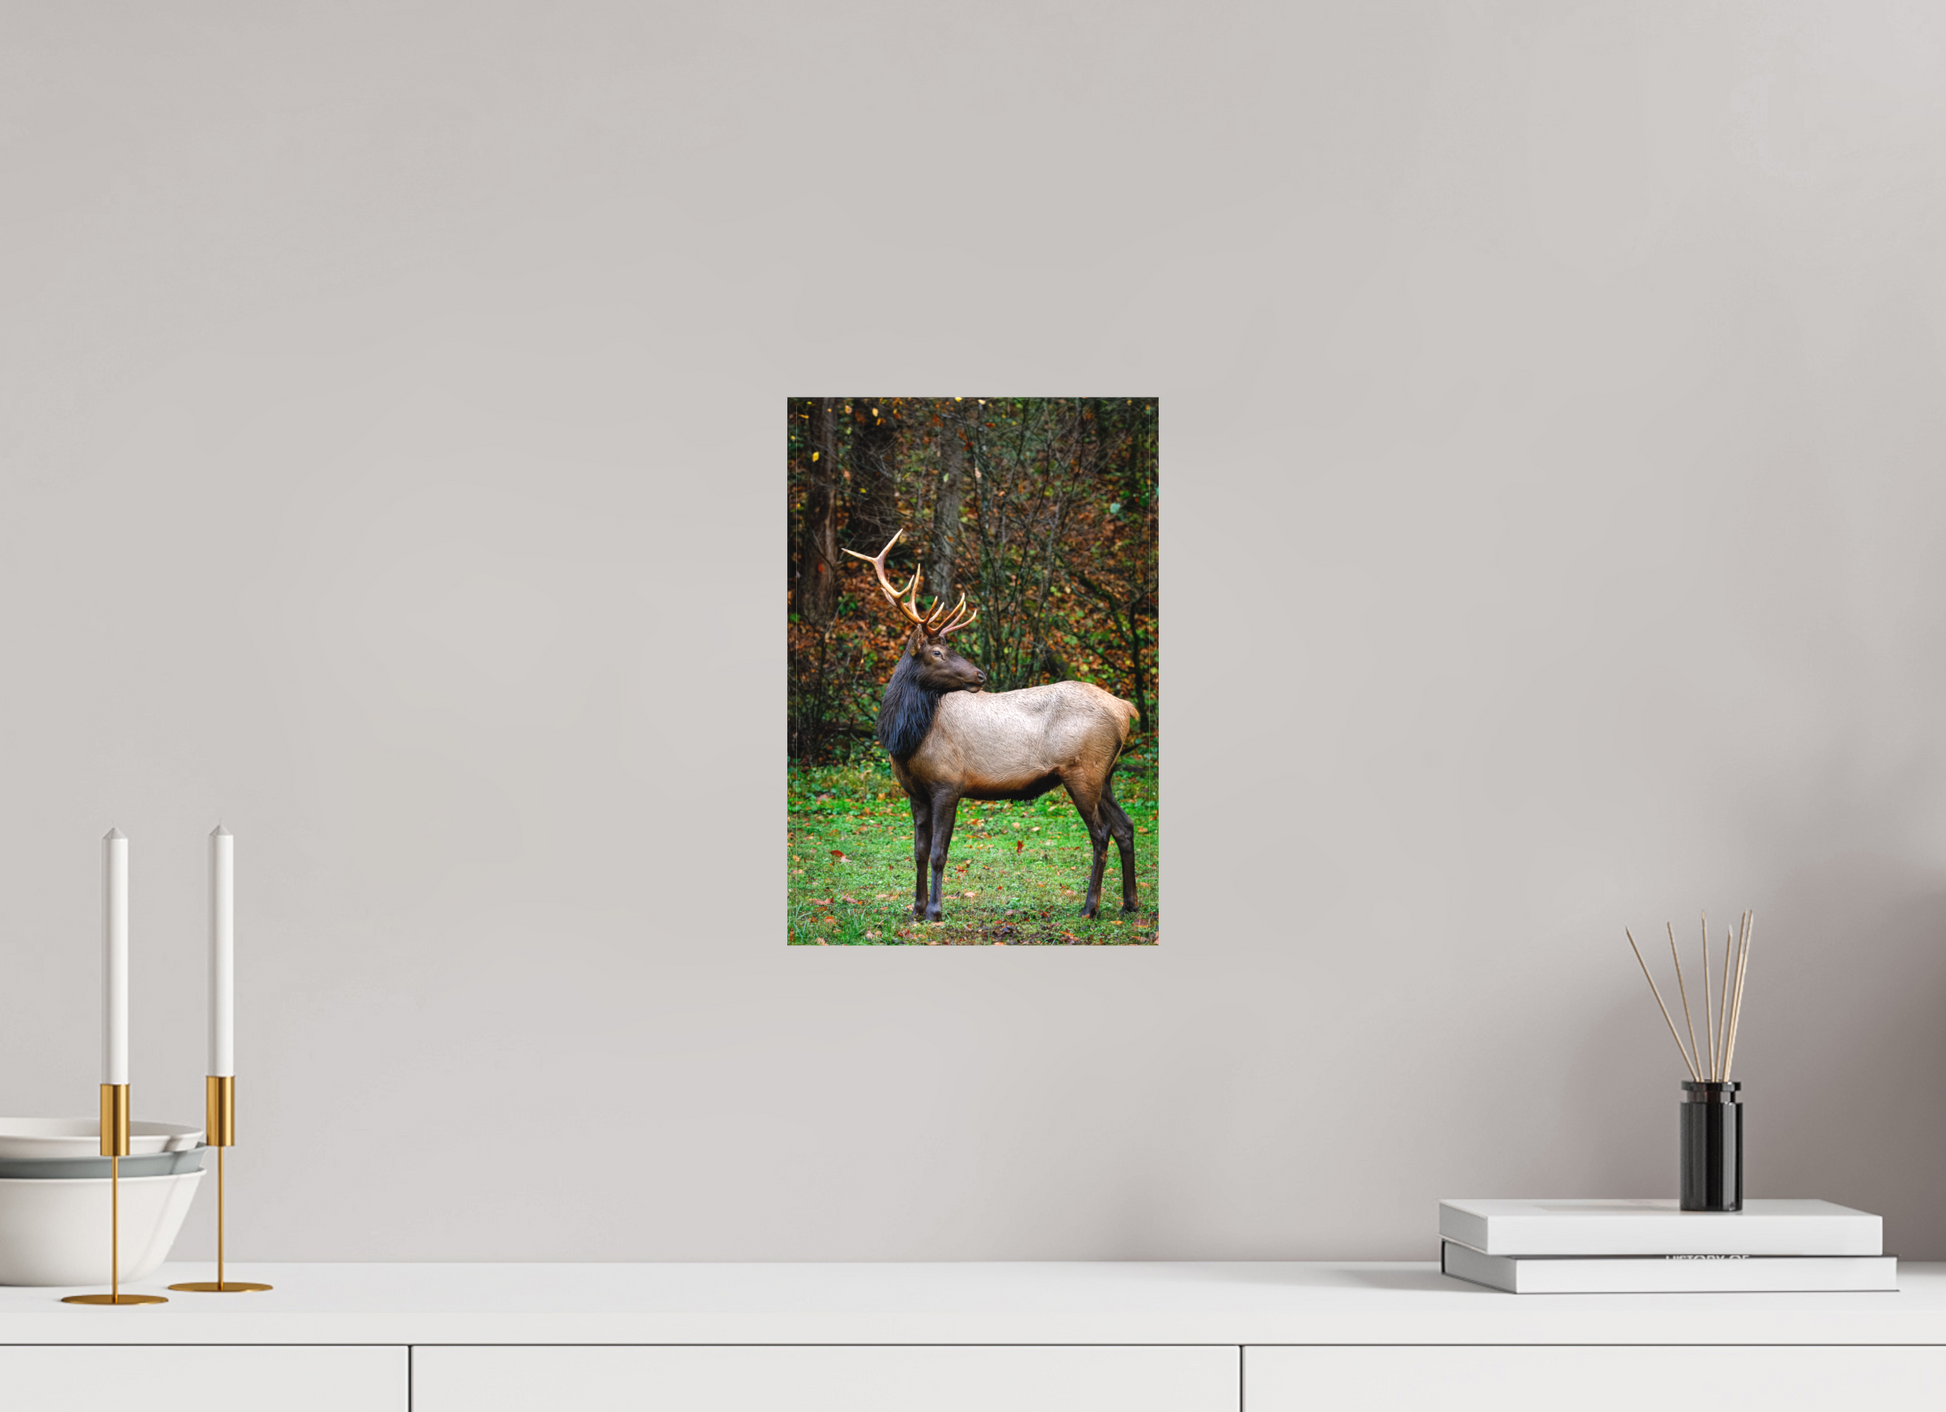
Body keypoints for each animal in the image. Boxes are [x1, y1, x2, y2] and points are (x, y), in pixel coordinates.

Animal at [843, 530, 1141, 924]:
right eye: (937, 652)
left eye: (946, 648)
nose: (980, 675)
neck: (906, 739)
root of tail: (1126, 709)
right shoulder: (915, 792)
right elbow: (918, 851)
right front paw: (915, 909)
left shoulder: (949, 783)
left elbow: (938, 853)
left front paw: (934, 910)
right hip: (1105, 773)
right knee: (1125, 826)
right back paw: (1129, 903)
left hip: (1083, 771)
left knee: (1101, 832)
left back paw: (1090, 907)